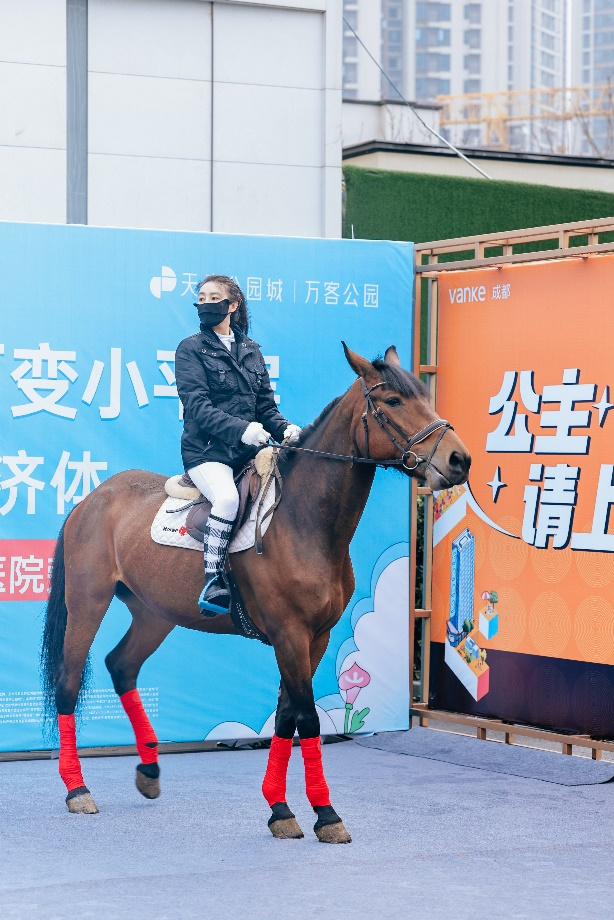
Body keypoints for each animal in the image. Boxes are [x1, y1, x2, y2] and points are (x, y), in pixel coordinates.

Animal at [41, 343, 471, 843]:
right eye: (394, 402)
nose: (460, 460)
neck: (304, 522)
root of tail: (91, 499)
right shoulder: (289, 634)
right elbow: (306, 717)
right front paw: (326, 815)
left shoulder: (315, 637)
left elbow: (286, 715)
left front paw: (280, 809)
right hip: (87, 604)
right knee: (69, 682)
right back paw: (77, 789)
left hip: (154, 614)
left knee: (121, 666)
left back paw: (148, 771)